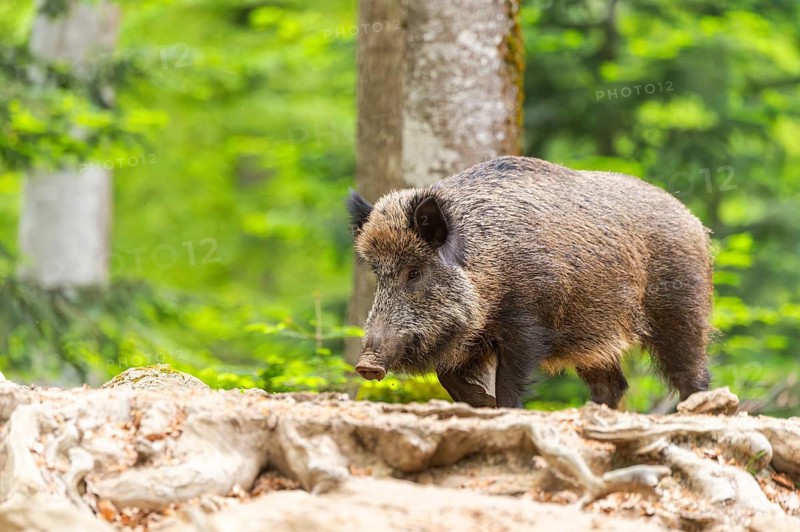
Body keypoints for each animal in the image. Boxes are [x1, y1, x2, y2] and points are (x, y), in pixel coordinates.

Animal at [347, 156, 713, 408]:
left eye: (414, 271)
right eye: (378, 273)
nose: (366, 365)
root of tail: (695, 222)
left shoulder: (527, 324)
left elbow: (509, 381)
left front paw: (501, 407)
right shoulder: (475, 335)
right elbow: (447, 375)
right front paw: (483, 404)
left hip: (681, 310)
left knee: (692, 374)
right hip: (593, 337)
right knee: (613, 385)